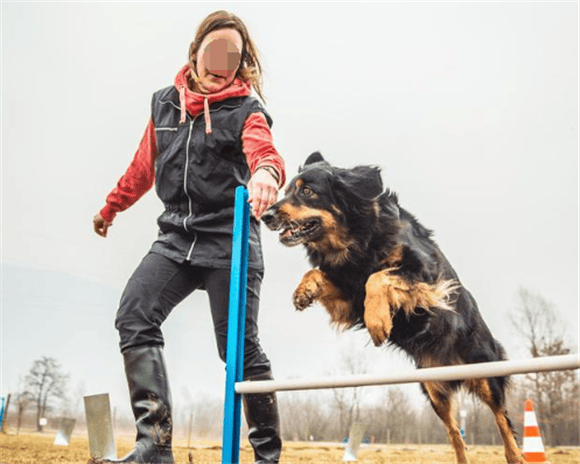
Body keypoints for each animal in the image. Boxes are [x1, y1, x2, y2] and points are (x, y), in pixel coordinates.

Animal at [262, 153, 524, 464]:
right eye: (287, 190)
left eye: (307, 191)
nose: (265, 216)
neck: (356, 239)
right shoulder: (348, 297)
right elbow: (318, 273)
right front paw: (303, 292)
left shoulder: (424, 274)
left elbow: (378, 277)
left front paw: (378, 322)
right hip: (434, 390)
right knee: (455, 433)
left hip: (484, 371)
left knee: (501, 418)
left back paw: (516, 455)